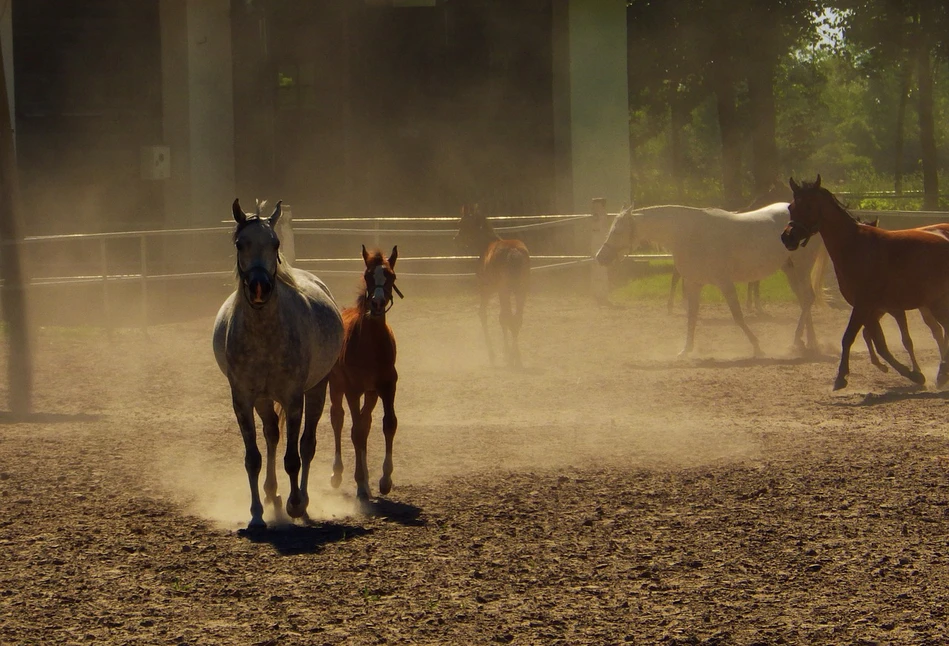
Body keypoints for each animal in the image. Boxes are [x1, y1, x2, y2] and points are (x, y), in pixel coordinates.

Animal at [215, 200, 344, 528]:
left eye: (275, 244)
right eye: (240, 243)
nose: (260, 287)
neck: (264, 334)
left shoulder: (293, 397)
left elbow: (293, 458)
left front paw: (295, 504)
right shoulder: (243, 399)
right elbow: (253, 458)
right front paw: (256, 514)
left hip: (317, 389)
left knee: (307, 445)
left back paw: (302, 503)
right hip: (263, 400)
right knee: (272, 435)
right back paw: (271, 494)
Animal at [330, 246, 400, 504]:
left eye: (391, 276)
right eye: (368, 276)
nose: (377, 303)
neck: (370, 344)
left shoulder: (387, 386)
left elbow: (388, 424)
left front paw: (384, 480)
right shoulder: (352, 389)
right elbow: (356, 431)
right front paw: (360, 484)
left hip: (371, 393)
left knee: (365, 422)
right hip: (335, 386)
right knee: (338, 419)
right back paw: (337, 474)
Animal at [454, 206, 528, 370]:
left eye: (461, 223)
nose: (456, 239)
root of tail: (514, 253)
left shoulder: (486, 289)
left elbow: (483, 314)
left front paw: (494, 355)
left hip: (504, 291)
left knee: (508, 318)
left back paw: (511, 357)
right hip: (520, 291)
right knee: (516, 319)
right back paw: (517, 358)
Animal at [592, 204, 824, 360]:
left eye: (617, 231)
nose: (600, 257)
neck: (689, 234)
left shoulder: (724, 282)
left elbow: (737, 316)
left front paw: (757, 347)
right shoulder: (694, 283)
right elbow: (691, 317)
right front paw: (685, 350)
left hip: (801, 267)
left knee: (808, 299)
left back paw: (796, 343)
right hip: (790, 269)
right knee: (805, 301)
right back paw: (809, 344)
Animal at [780, 175, 949, 390]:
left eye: (809, 206)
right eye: (791, 207)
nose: (787, 237)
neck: (856, 245)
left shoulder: (865, 305)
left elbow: (849, 337)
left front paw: (841, 377)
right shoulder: (869, 309)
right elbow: (879, 343)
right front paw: (914, 375)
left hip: (935, 303)